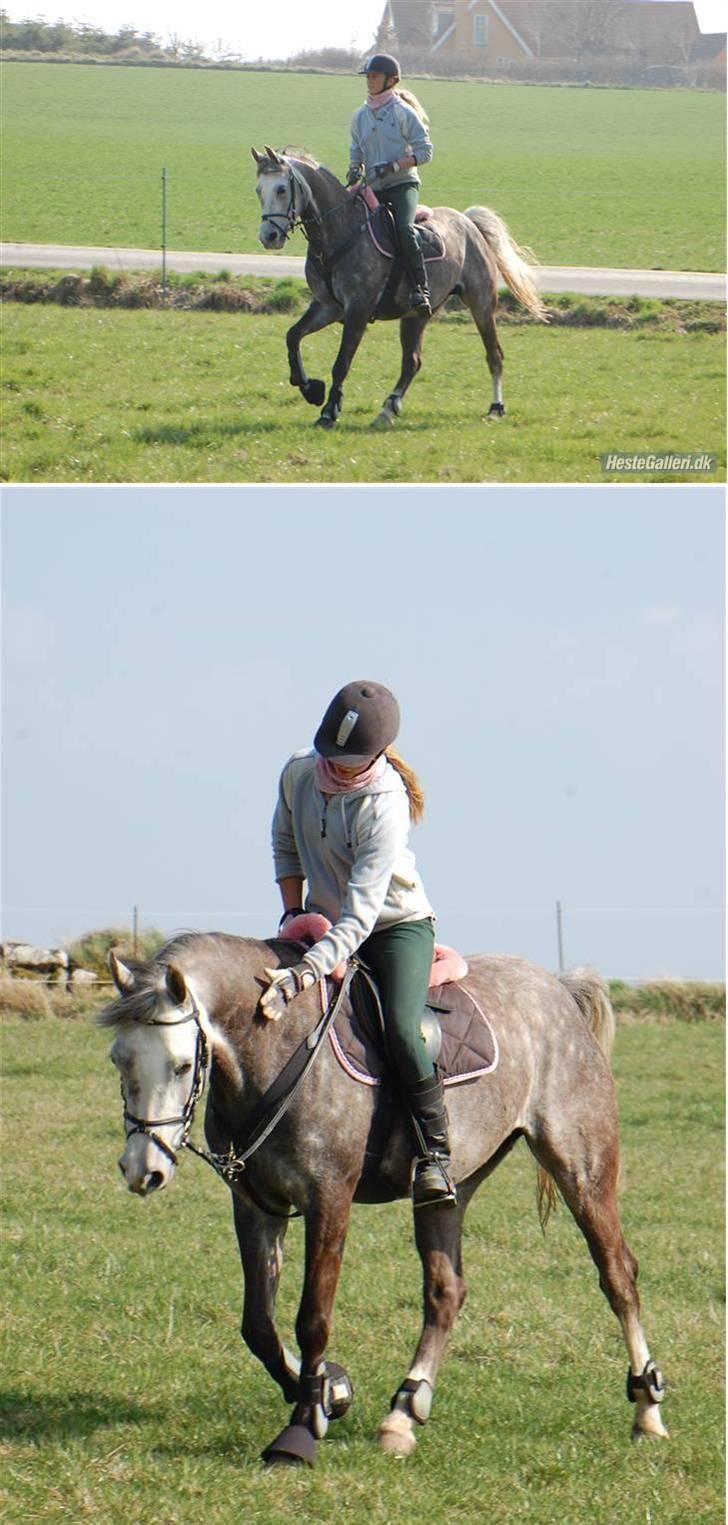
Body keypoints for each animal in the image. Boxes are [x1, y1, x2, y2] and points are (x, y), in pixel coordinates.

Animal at [100, 927, 665, 1464]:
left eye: (180, 1065)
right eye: (118, 1061)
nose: (142, 1170)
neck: (276, 1044)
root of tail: (559, 990)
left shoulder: (328, 1199)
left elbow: (313, 1319)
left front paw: (301, 1428)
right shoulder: (257, 1205)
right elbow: (258, 1325)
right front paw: (329, 1391)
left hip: (581, 1166)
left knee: (617, 1274)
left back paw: (647, 1409)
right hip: (449, 1190)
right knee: (445, 1291)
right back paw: (404, 1414)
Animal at [251, 147, 543, 430]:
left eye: (281, 189)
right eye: (258, 190)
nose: (269, 237)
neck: (340, 233)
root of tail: (468, 222)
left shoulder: (358, 310)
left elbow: (341, 363)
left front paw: (329, 411)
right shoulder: (328, 306)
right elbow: (292, 336)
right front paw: (310, 388)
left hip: (481, 303)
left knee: (494, 355)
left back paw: (496, 408)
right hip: (416, 316)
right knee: (412, 362)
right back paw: (388, 409)